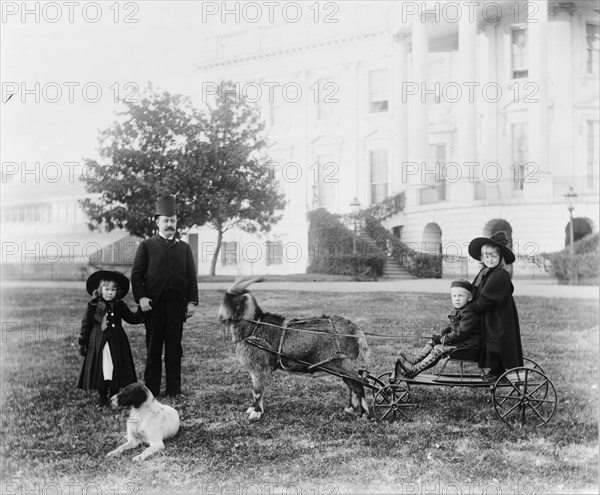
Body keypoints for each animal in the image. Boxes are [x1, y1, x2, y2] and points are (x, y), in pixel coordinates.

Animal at [218, 278, 368, 420]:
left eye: (228, 300)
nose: (220, 316)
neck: (253, 326)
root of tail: (355, 329)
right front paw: (253, 409)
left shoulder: (259, 368)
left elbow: (257, 391)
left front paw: (256, 413)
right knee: (352, 385)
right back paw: (350, 409)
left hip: (344, 364)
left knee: (358, 384)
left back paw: (365, 414)